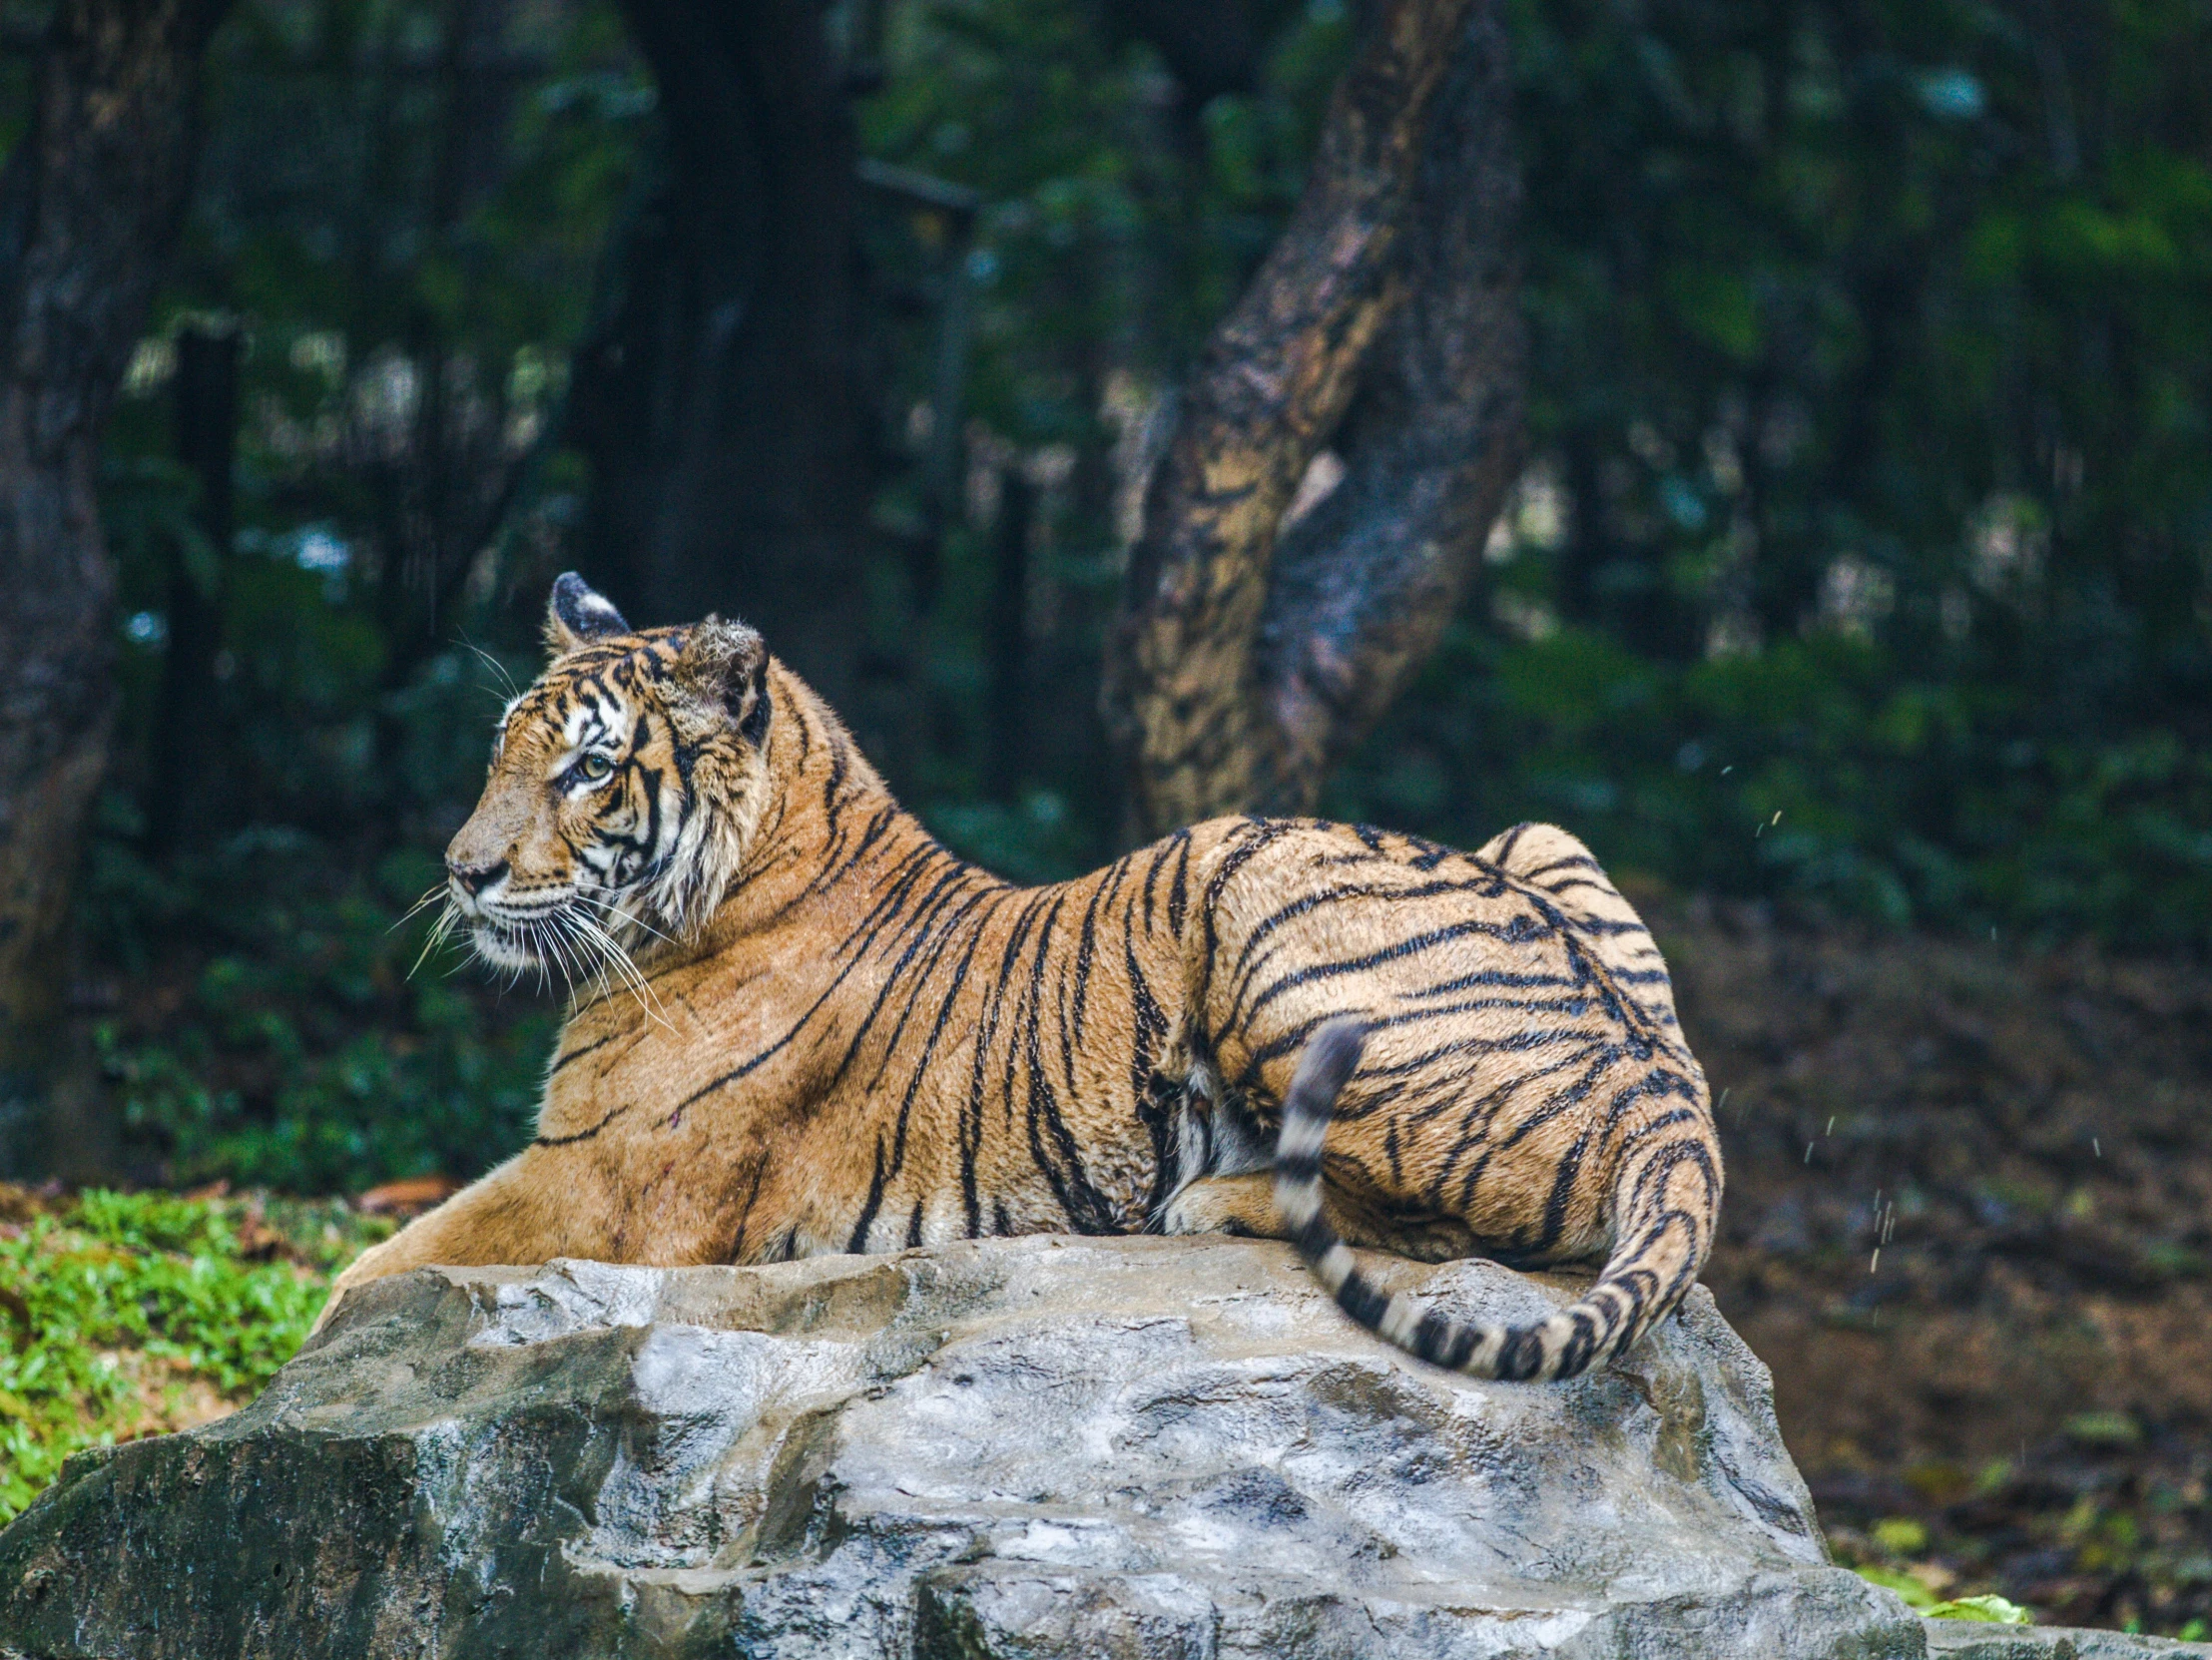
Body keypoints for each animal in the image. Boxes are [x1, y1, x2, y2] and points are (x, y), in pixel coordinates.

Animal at [320, 579, 1716, 1381]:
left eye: (588, 769)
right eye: (504, 751)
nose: (460, 872)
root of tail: (1669, 1101)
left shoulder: (596, 1182)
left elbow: (365, 1278)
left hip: (1248, 886)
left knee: (1440, 1224)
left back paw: (1211, 1202)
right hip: (1538, 835)